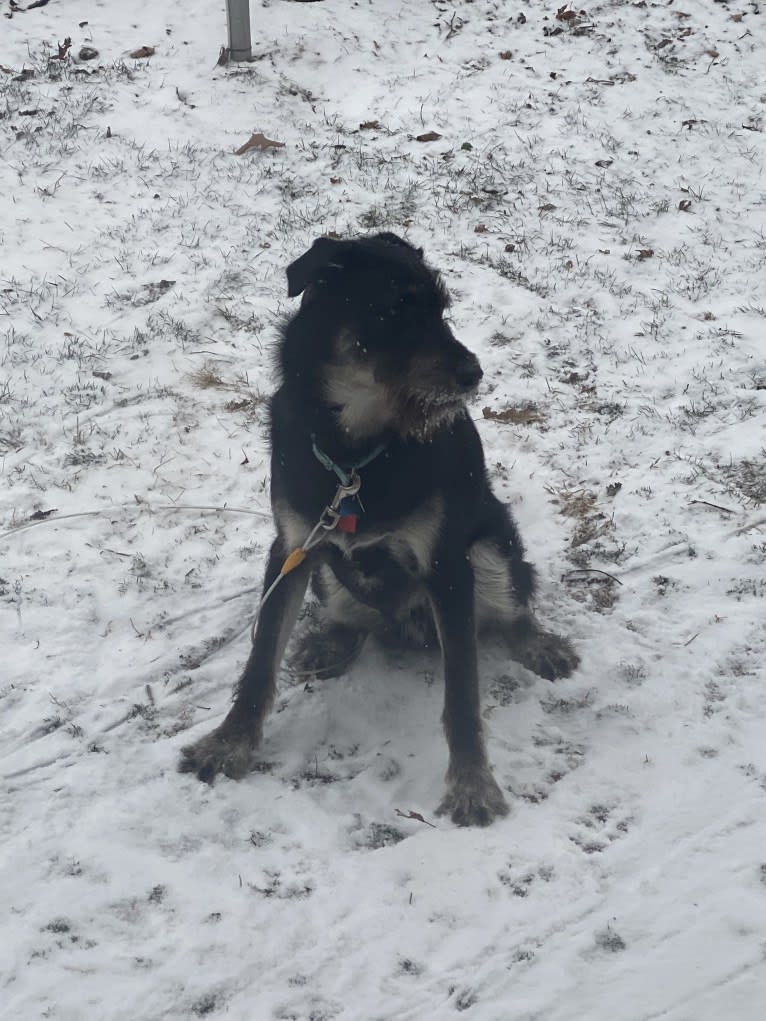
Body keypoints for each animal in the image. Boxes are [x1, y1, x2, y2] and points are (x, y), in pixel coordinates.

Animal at [178, 233, 576, 829]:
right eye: (393, 310)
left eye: (440, 309)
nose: (473, 374)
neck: (354, 454)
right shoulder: (292, 547)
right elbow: (260, 660)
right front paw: (228, 744)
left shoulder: (447, 566)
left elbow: (462, 694)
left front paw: (473, 786)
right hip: (327, 575)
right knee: (352, 617)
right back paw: (331, 639)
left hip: (492, 549)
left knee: (516, 605)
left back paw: (538, 644)